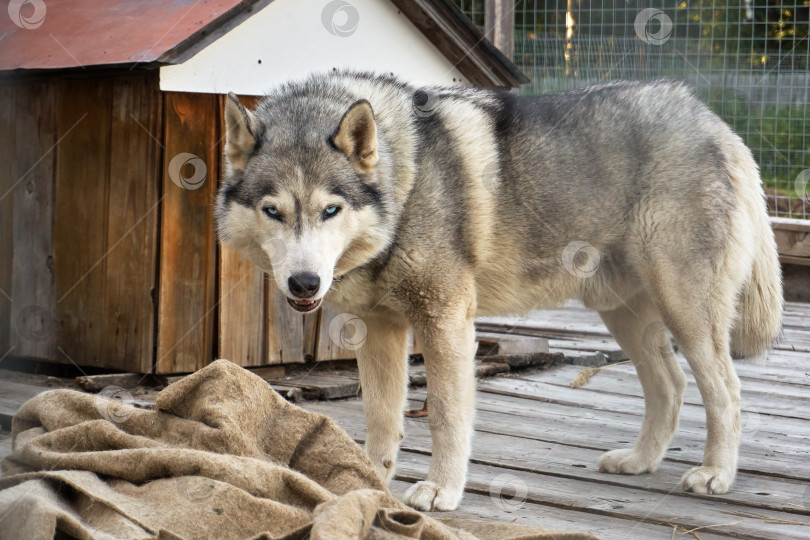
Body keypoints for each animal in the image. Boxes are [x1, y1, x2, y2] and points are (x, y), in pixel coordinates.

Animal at [211, 71, 780, 510]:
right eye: (273, 211)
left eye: (330, 209)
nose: (304, 282)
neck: (404, 179)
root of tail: (716, 124)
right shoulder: (380, 331)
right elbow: (381, 418)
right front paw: (367, 484)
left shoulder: (445, 323)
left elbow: (445, 414)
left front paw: (441, 491)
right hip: (623, 315)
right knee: (671, 386)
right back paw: (639, 462)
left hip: (685, 314)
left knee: (727, 392)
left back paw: (716, 475)